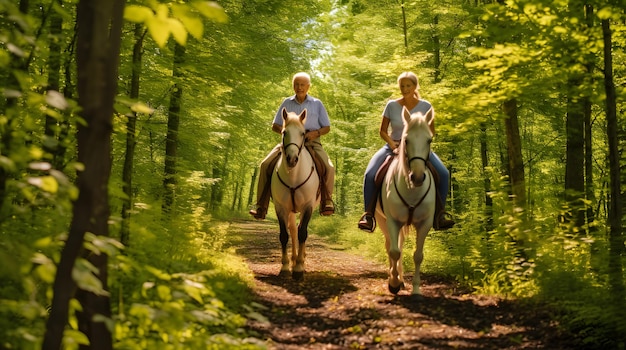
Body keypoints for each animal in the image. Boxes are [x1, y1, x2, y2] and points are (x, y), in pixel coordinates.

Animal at [270, 108, 320, 280]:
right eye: (284, 132)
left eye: (303, 133)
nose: (292, 159)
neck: (293, 175)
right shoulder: (281, 208)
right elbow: (284, 235)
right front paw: (285, 267)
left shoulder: (308, 206)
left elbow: (303, 233)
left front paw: (298, 268)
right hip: (291, 210)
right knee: (292, 229)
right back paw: (293, 260)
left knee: (299, 230)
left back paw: (301, 260)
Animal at [376, 105, 434, 294]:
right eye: (406, 140)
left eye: (429, 140)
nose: (417, 177)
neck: (412, 190)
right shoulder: (392, 221)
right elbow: (394, 251)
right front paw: (393, 283)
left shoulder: (425, 223)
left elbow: (418, 255)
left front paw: (415, 289)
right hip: (382, 220)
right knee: (390, 246)